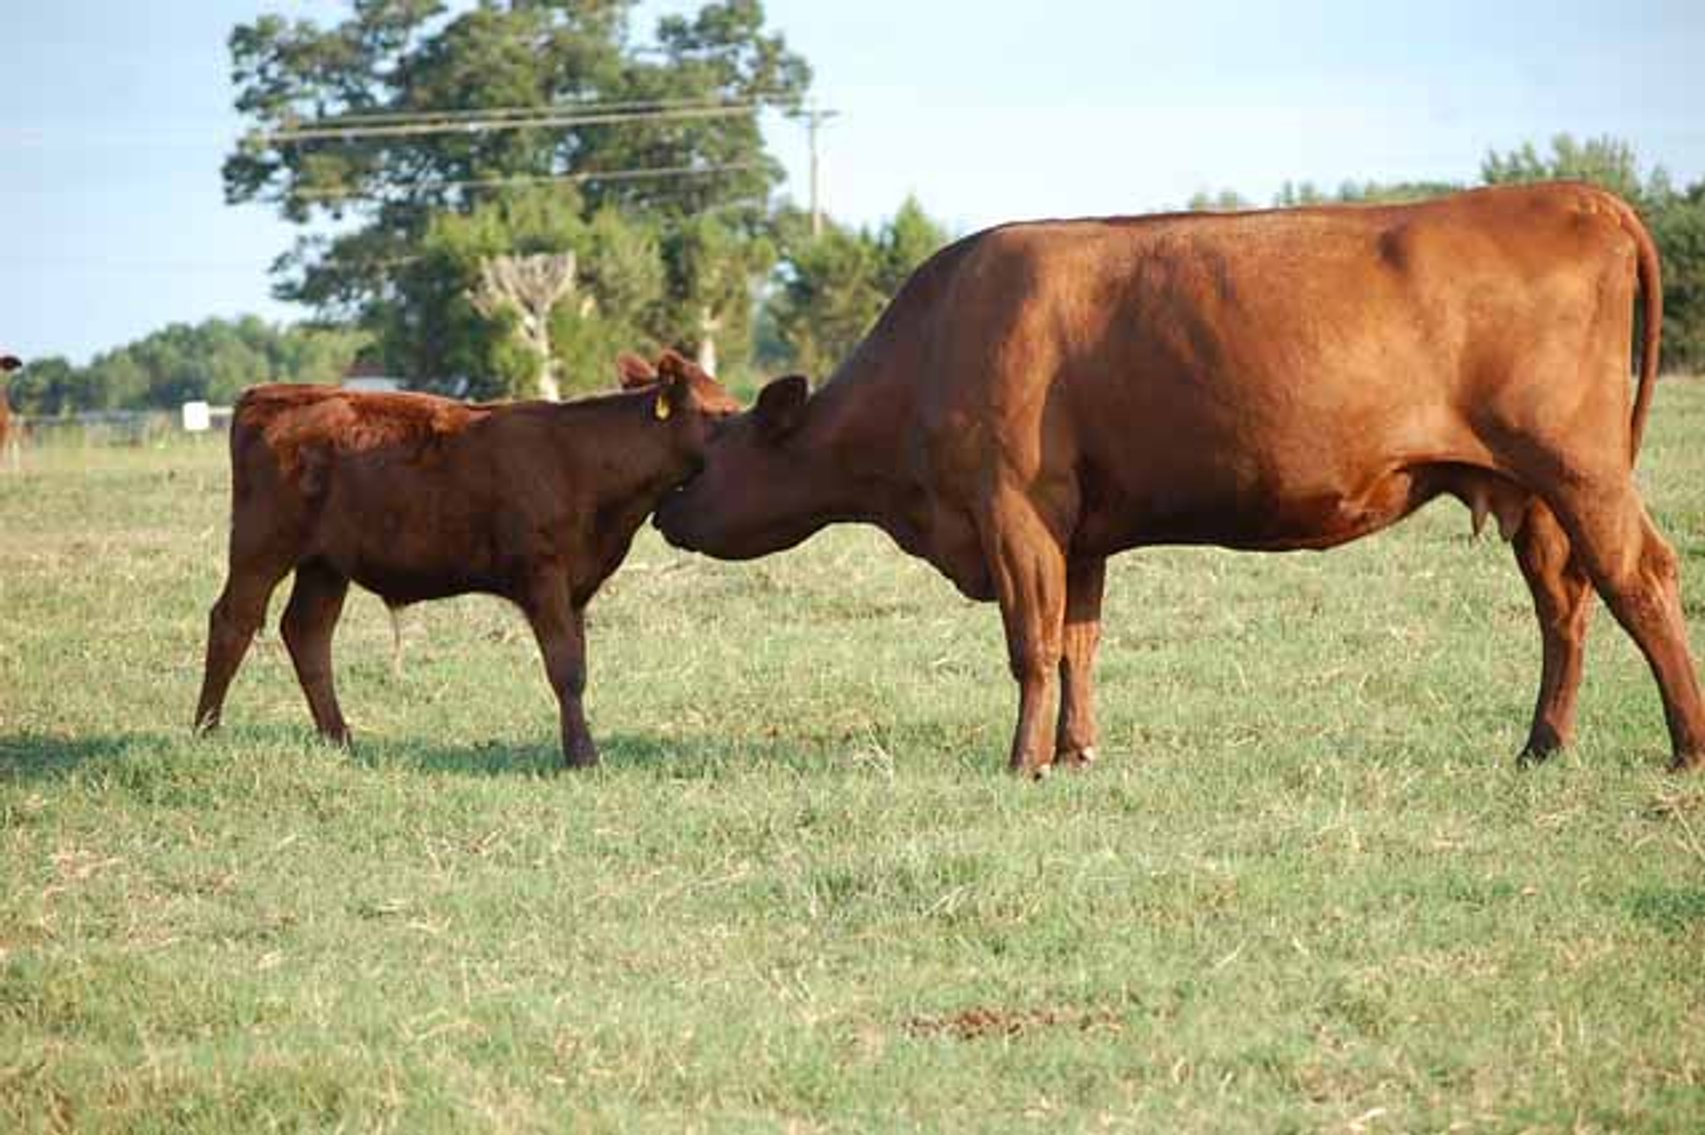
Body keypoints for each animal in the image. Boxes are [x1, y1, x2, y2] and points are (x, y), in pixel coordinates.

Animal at [193, 351, 740, 767]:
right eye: (722, 412)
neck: (586, 459)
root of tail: (274, 394)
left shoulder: (577, 589)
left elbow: (578, 664)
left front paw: (577, 746)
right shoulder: (542, 574)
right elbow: (566, 669)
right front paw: (583, 756)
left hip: (325, 565)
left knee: (307, 633)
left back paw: (340, 739)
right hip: (262, 547)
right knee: (232, 622)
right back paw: (206, 731)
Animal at [653, 182, 1705, 777]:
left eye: (710, 451)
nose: (665, 512)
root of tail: (1578, 196)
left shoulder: (1012, 511)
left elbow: (1030, 646)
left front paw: (1022, 762)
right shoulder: (1077, 531)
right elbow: (1078, 643)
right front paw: (1075, 752)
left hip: (1578, 467)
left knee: (1640, 577)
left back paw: (1684, 746)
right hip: (1535, 491)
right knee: (1564, 601)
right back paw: (1541, 745)